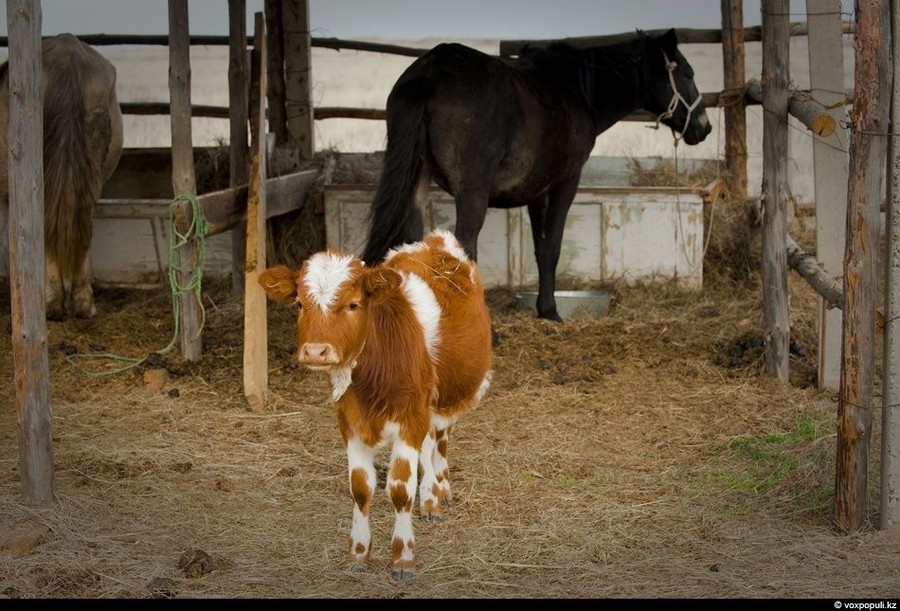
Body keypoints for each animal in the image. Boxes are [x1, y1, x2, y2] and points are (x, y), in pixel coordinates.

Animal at [256, 228, 496, 580]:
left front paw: (403, 557)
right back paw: (429, 498)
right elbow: (360, 487)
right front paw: (358, 554)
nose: (315, 351)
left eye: (353, 304)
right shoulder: (350, 421)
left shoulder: (411, 417)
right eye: (300, 303)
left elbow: (400, 489)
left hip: (446, 398)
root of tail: (433, 241)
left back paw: (440, 491)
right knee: (428, 444)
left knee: (440, 440)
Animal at [362, 29, 712, 320]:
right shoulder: (565, 183)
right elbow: (553, 247)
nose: (704, 127)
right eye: (687, 73)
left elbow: (540, 249)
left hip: (417, 183)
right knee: (465, 248)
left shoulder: (535, 192)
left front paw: (545, 309)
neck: (575, 90)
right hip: (472, 192)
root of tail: (430, 73)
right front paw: (551, 310)